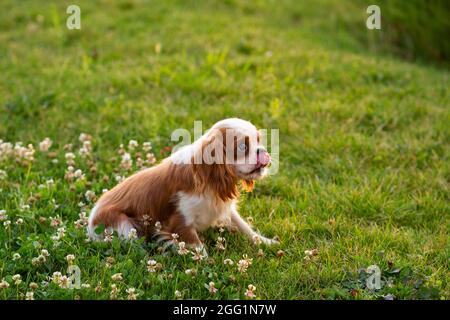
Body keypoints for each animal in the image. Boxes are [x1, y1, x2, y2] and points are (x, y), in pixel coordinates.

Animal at [87, 117, 278, 252]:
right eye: (242, 147)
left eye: (258, 140)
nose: (263, 152)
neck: (208, 181)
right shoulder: (180, 221)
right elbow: (199, 248)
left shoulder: (224, 208)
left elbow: (244, 226)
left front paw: (266, 242)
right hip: (123, 224)